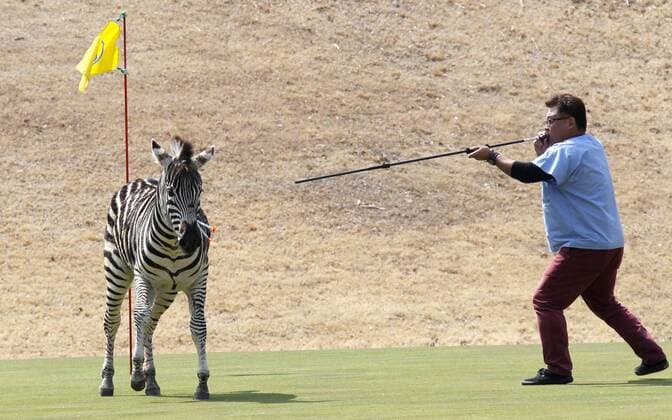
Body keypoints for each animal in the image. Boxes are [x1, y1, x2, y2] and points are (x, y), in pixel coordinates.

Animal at [100, 136, 215, 400]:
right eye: (171, 192)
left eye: (200, 191)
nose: (191, 240)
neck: (173, 245)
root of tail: (141, 179)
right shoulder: (144, 277)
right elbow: (138, 316)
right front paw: (136, 373)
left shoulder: (198, 280)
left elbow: (199, 325)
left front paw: (202, 383)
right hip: (117, 271)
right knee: (114, 321)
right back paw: (108, 381)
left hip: (166, 290)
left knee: (151, 322)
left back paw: (151, 380)